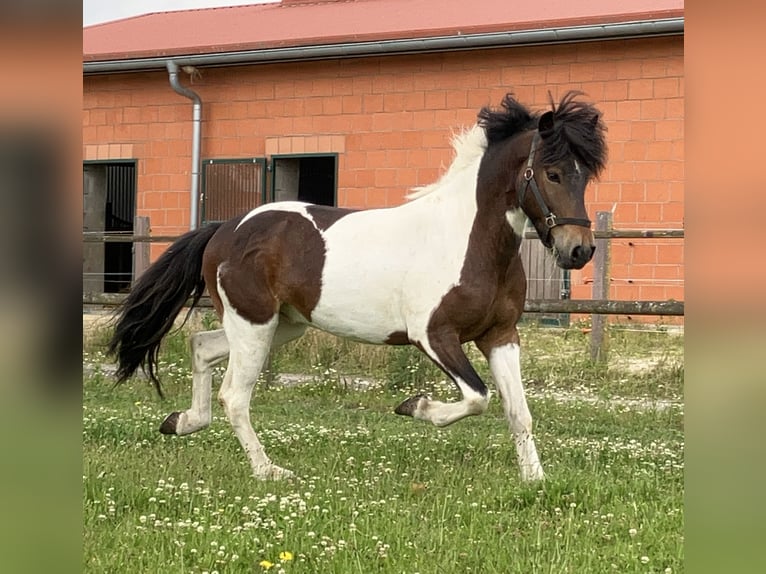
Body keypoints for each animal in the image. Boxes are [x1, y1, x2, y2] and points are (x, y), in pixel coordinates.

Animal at [108, 91, 607, 482]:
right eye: (552, 173)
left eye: (585, 175)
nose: (579, 250)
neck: (465, 239)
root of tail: (224, 229)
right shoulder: (434, 336)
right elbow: (478, 397)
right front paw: (414, 406)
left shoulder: (501, 335)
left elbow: (517, 410)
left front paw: (535, 481)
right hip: (254, 324)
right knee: (234, 395)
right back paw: (270, 471)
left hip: (277, 324)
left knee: (201, 347)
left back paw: (181, 422)